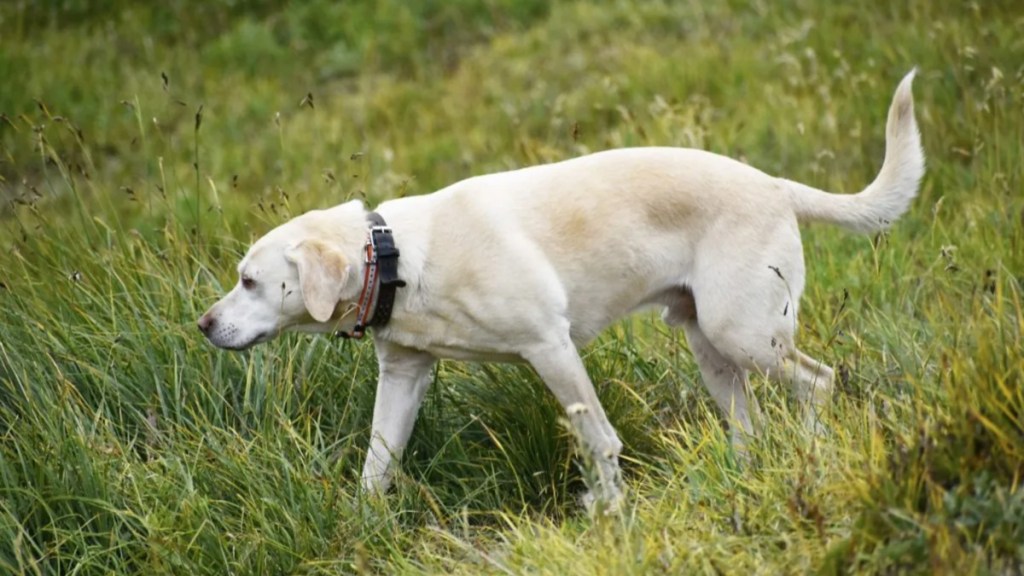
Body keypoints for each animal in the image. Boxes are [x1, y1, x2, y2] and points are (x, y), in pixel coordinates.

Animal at [199, 70, 929, 506]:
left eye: (249, 281)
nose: (203, 325)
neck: (396, 254)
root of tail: (775, 184)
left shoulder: (550, 348)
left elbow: (597, 439)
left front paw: (609, 513)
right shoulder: (404, 376)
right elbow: (377, 466)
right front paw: (364, 525)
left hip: (745, 332)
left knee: (820, 382)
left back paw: (814, 452)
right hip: (712, 348)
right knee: (749, 423)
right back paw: (747, 476)